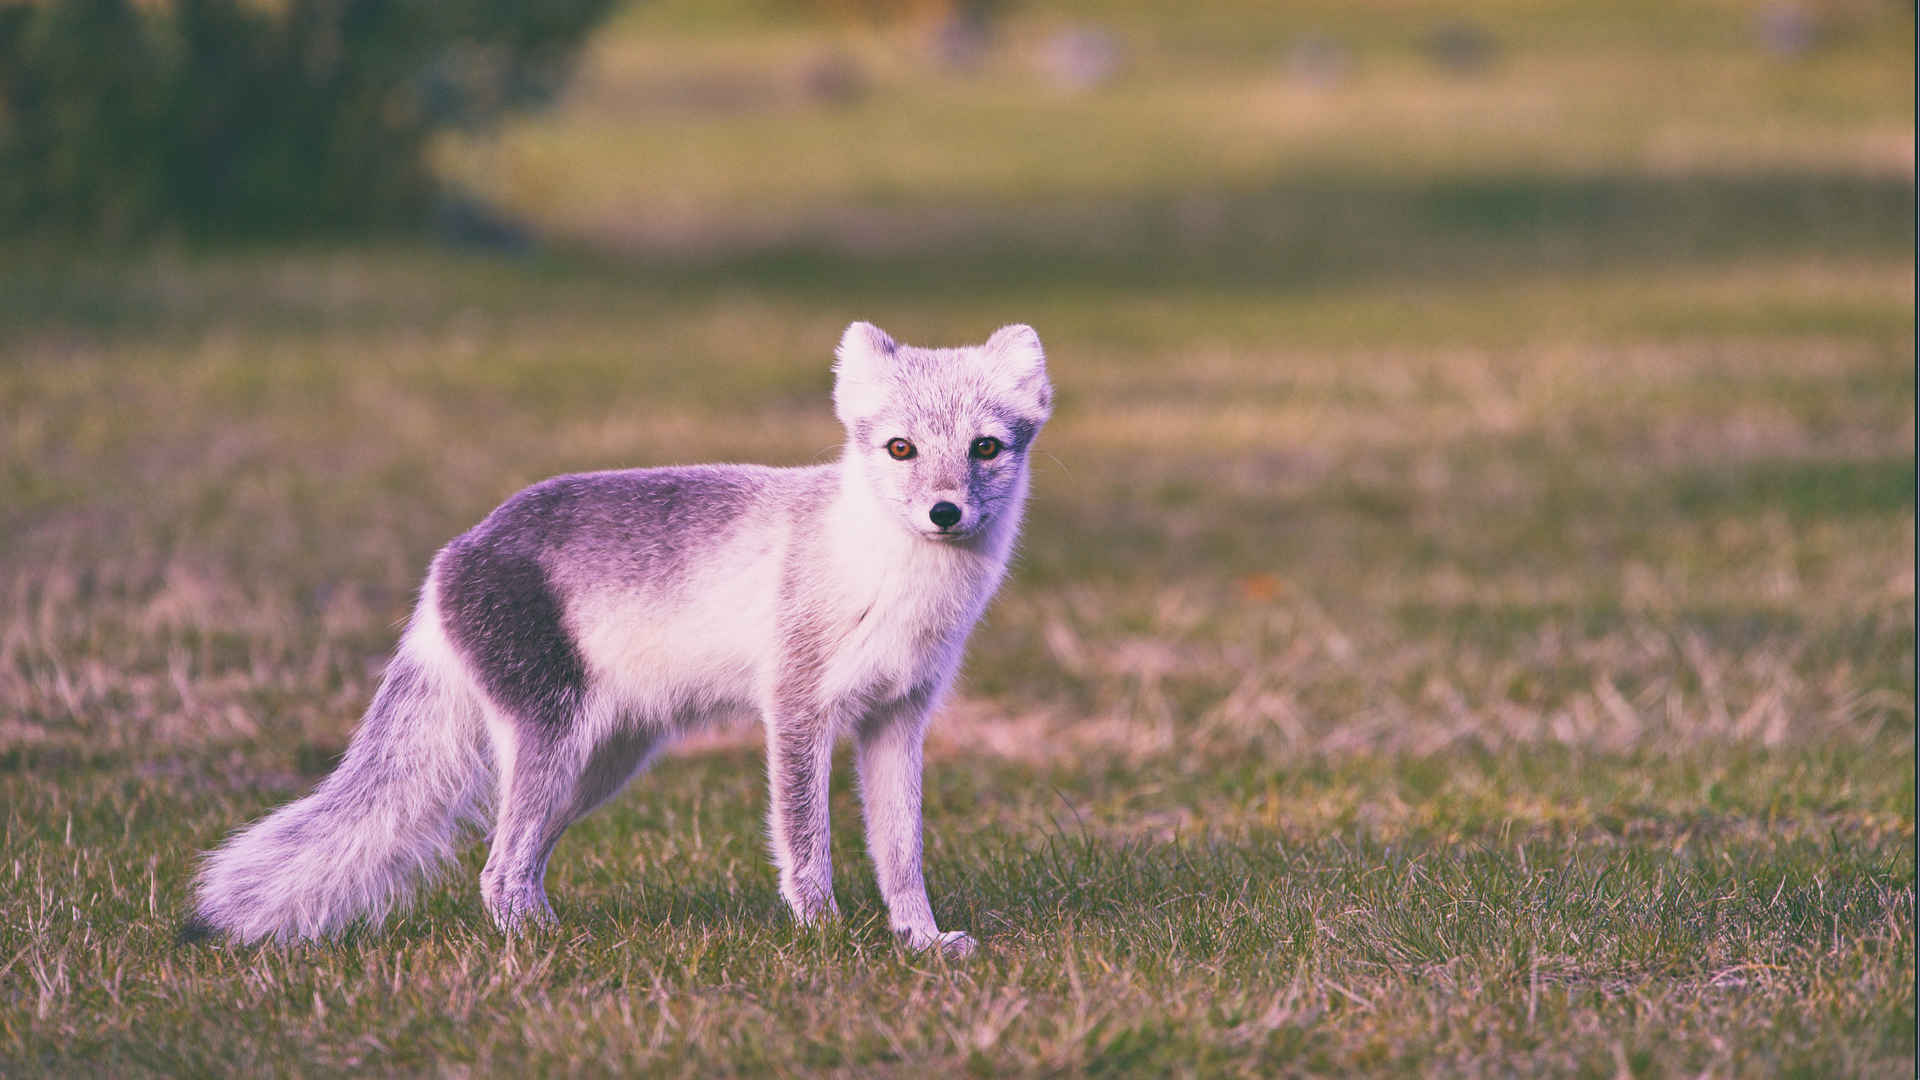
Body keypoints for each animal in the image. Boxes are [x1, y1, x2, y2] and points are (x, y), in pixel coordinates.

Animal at [187, 317, 1059, 949]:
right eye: (900, 448)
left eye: (984, 448)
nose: (945, 512)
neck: (889, 580)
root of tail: (449, 559)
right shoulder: (797, 710)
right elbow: (805, 843)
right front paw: (829, 939)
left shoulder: (898, 719)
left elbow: (902, 853)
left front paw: (921, 942)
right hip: (553, 742)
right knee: (497, 869)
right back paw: (541, 947)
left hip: (601, 763)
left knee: (515, 860)